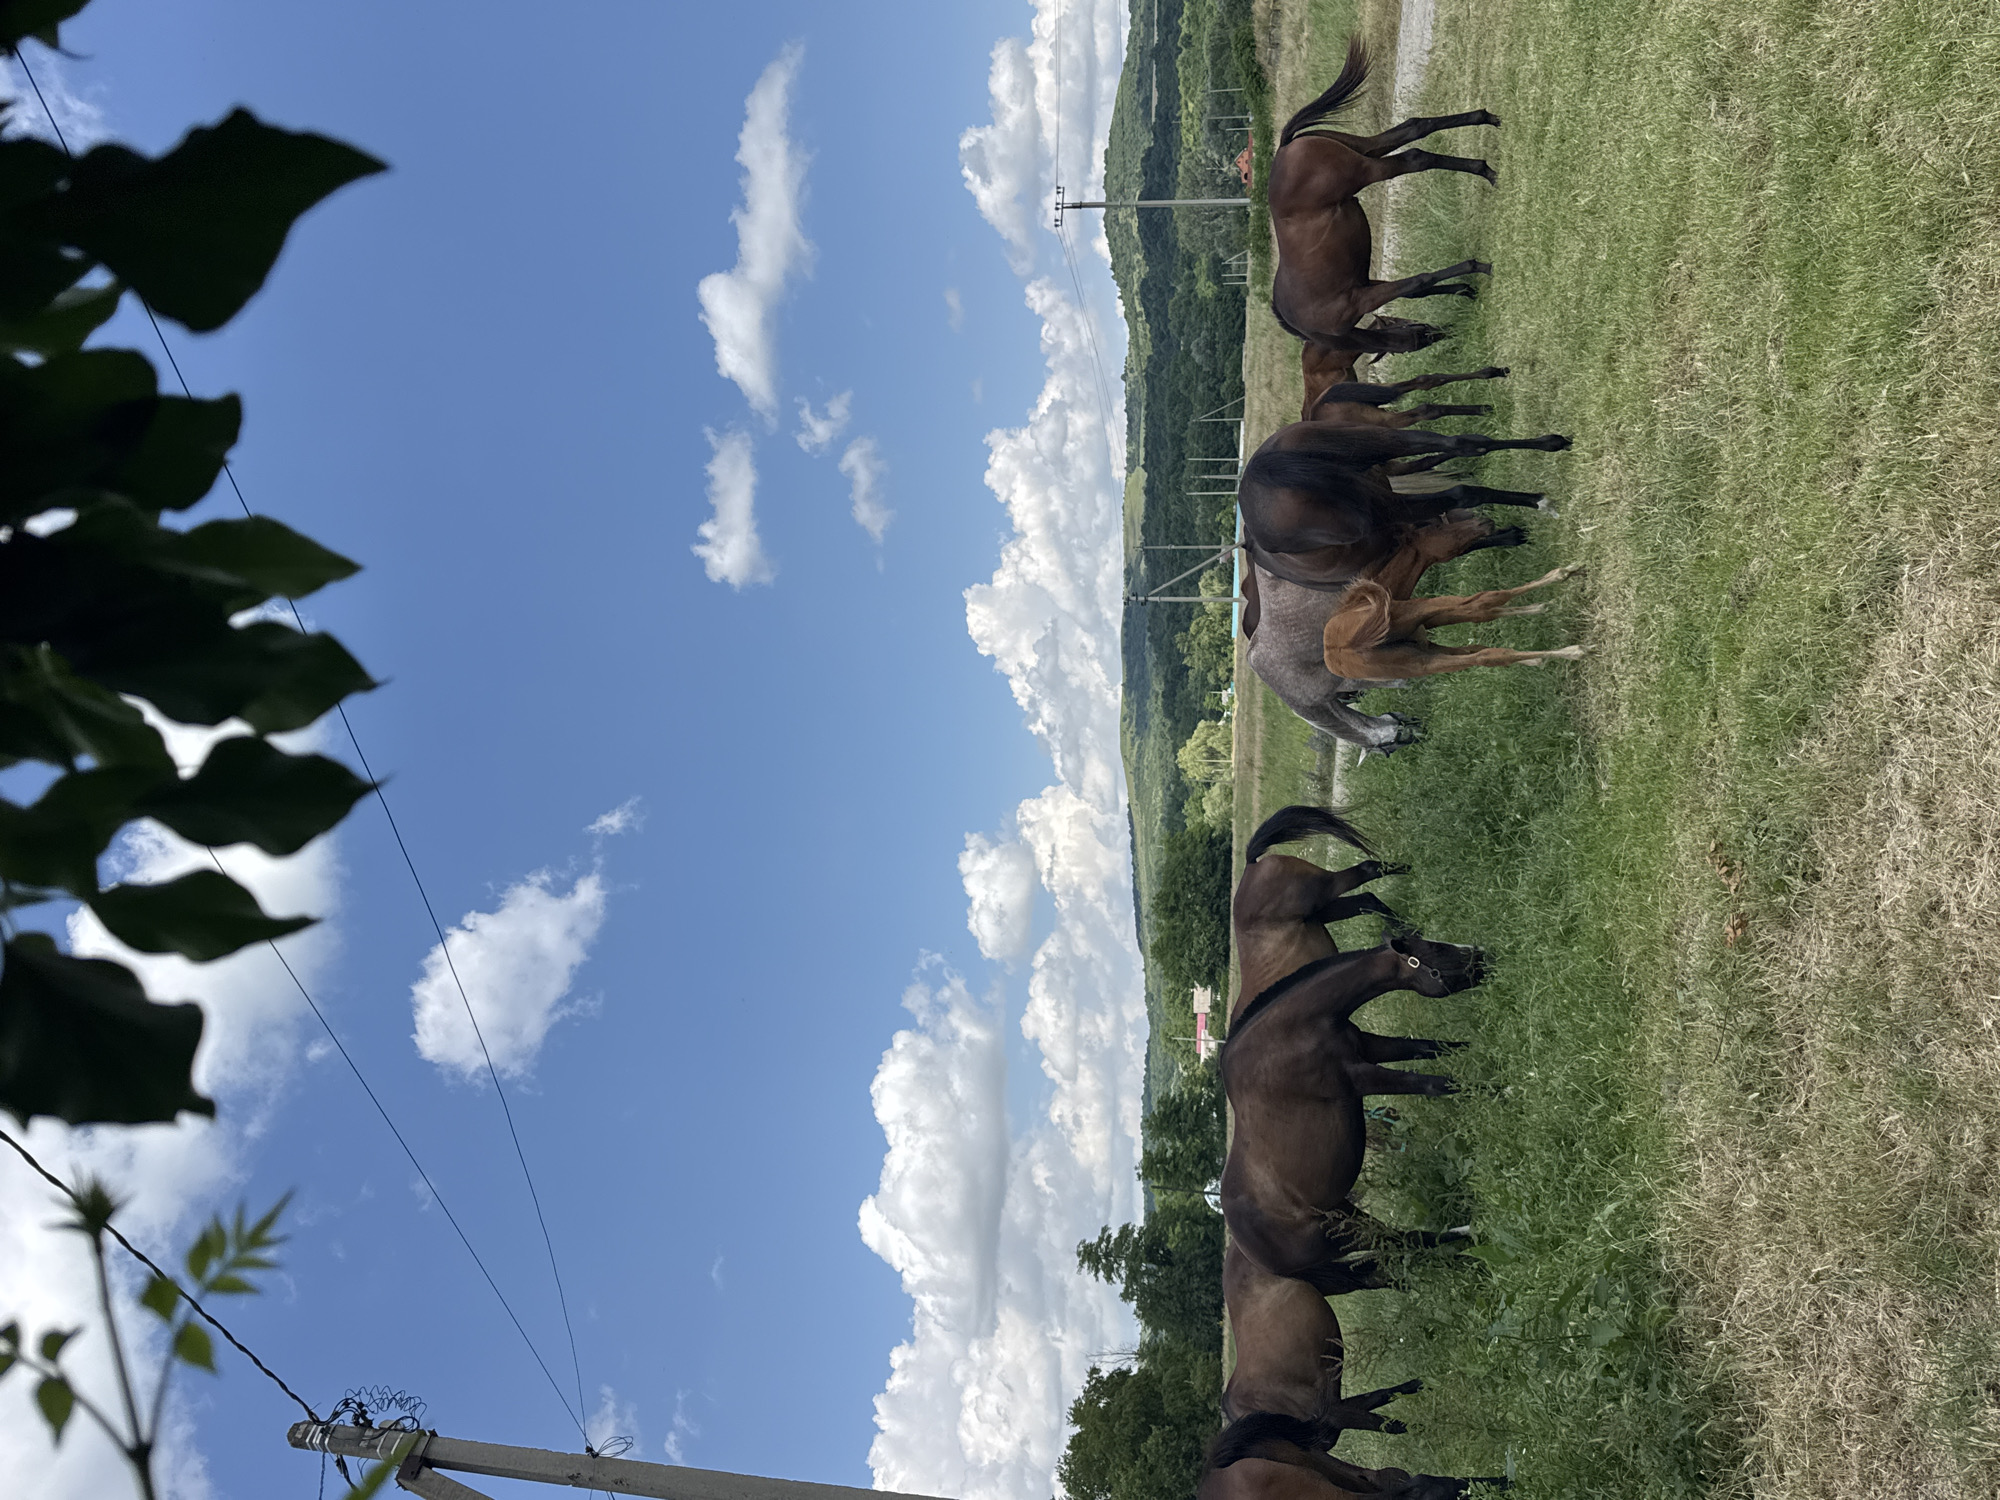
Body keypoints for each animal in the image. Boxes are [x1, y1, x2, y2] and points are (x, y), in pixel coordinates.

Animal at [1220, 944, 1481, 1292]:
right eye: (1435, 951)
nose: (1484, 959)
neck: (1288, 1035)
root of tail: (1251, 1254)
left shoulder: (1373, 1047)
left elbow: (1435, 1048)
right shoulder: (1361, 1077)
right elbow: (1435, 1084)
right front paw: (1503, 1087)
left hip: (1346, 1214)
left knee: (1394, 1250)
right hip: (1344, 1236)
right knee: (1405, 1241)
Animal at [1269, 39, 1503, 356]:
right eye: (1420, 333)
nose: (1445, 334)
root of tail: (1284, 148)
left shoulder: (1362, 297)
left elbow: (1420, 281)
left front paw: (1479, 267)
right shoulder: (1366, 285)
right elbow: (1419, 289)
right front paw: (1466, 288)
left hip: (1365, 168)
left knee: (1415, 156)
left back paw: (1486, 166)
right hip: (1365, 149)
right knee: (1414, 126)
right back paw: (1485, 130)